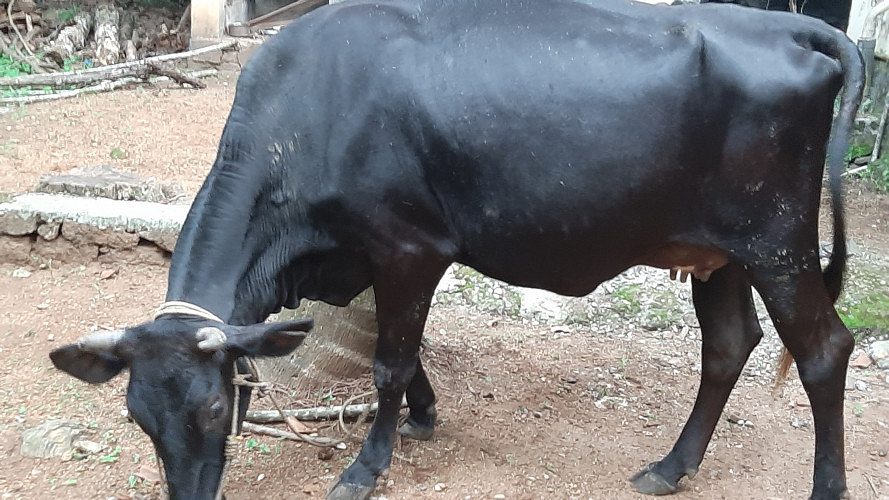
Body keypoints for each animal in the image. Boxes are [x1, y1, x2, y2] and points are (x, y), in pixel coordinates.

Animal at [48, 0, 864, 498]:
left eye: (216, 408)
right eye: (138, 417)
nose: (188, 491)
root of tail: (789, 28)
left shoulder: (409, 246)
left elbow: (390, 359)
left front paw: (367, 465)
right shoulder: (367, 257)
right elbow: (404, 353)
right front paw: (424, 415)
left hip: (779, 243)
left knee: (824, 350)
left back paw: (825, 485)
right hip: (717, 253)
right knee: (728, 345)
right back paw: (670, 466)